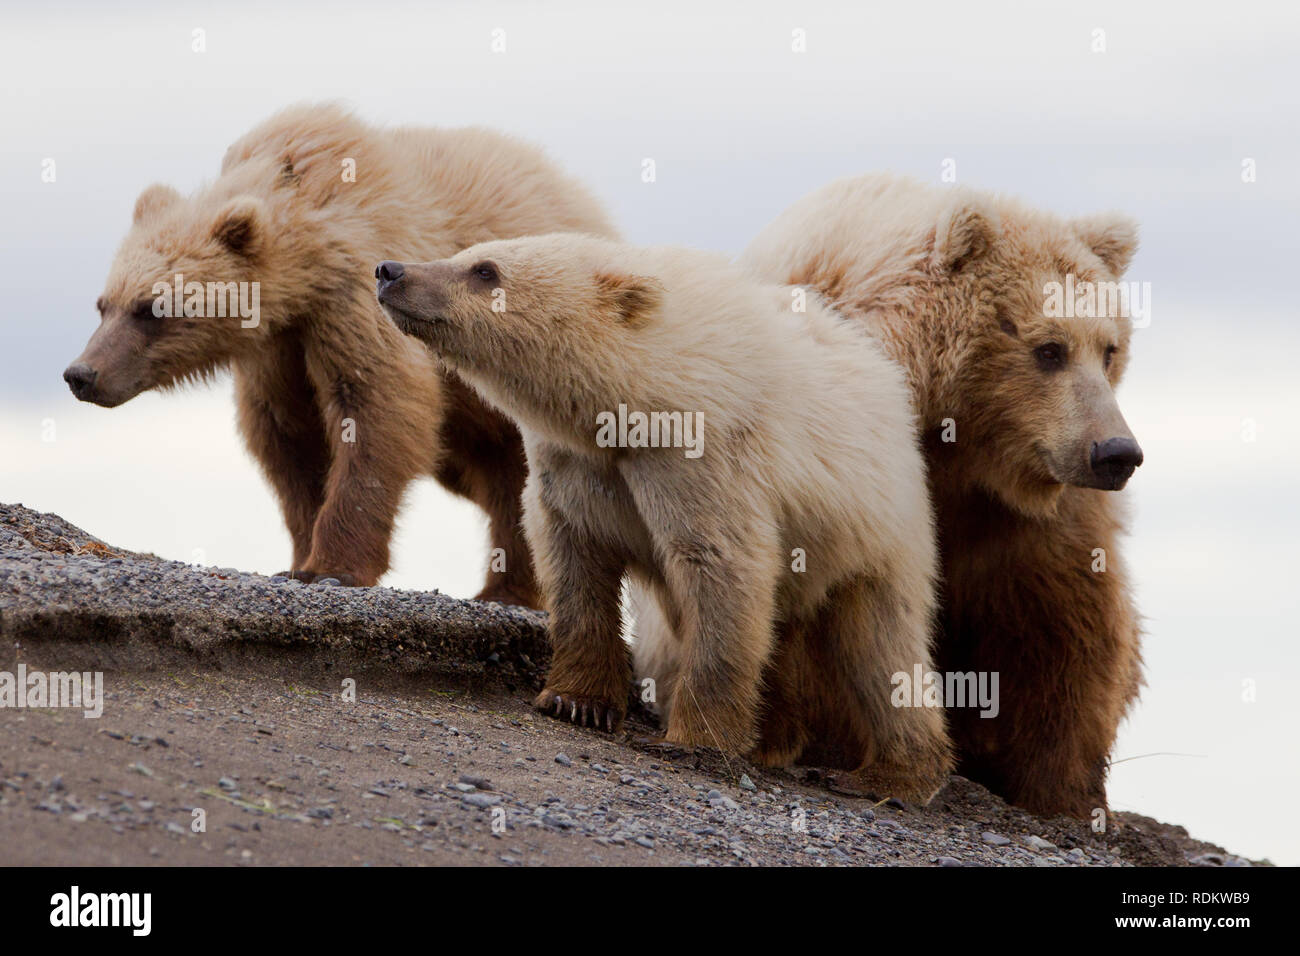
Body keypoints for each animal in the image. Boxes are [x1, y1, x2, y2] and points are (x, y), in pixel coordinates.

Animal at [63, 102, 621, 598]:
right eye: (103, 304)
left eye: (151, 308)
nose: (81, 373)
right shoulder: (276, 350)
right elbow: (288, 439)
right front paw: (297, 558)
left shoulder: (356, 297)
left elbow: (376, 410)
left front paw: (332, 568)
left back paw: (511, 590)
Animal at [377, 234, 956, 801]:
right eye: (465, 253)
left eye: (485, 270)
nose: (390, 270)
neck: (642, 397)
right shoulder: (574, 464)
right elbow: (575, 558)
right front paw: (575, 701)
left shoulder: (700, 460)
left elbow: (721, 567)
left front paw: (691, 739)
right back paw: (776, 737)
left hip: (877, 533)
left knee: (882, 647)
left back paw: (889, 776)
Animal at [748, 171, 1144, 816]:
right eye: (1049, 348)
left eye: (1109, 348)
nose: (1115, 453)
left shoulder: (1031, 513)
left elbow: (1064, 622)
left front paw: (1058, 786)